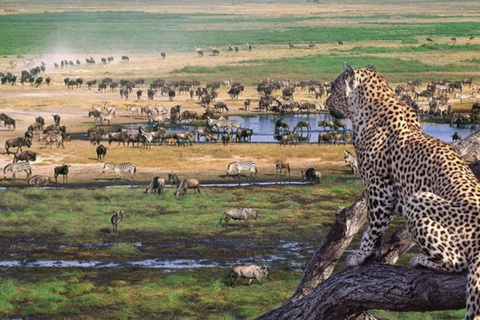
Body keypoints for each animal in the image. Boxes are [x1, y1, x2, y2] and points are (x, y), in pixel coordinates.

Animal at [326, 63, 480, 320]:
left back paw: (421, 260)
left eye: (333, 88)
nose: (326, 102)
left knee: (457, 262)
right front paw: (372, 254)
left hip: (419, 199)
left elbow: (373, 227)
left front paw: (361, 256)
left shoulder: (378, 188)